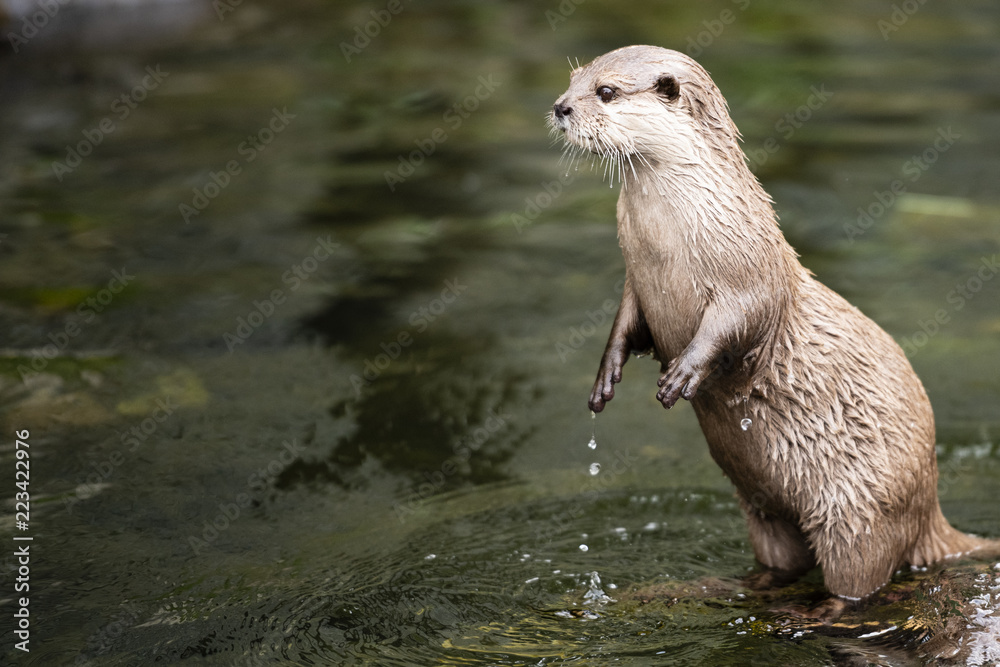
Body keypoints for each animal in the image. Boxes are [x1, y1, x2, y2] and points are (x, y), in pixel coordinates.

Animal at [552, 44, 996, 620]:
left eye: (605, 91)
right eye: (572, 79)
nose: (560, 108)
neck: (665, 242)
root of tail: (929, 505)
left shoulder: (750, 270)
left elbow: (739, 321)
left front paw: (682, 375)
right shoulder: (634, 280)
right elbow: (627, 326)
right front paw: (605, 376)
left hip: (863, 510)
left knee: (860, 575)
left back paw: (819, 614)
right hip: (765, 513)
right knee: (784, 559)